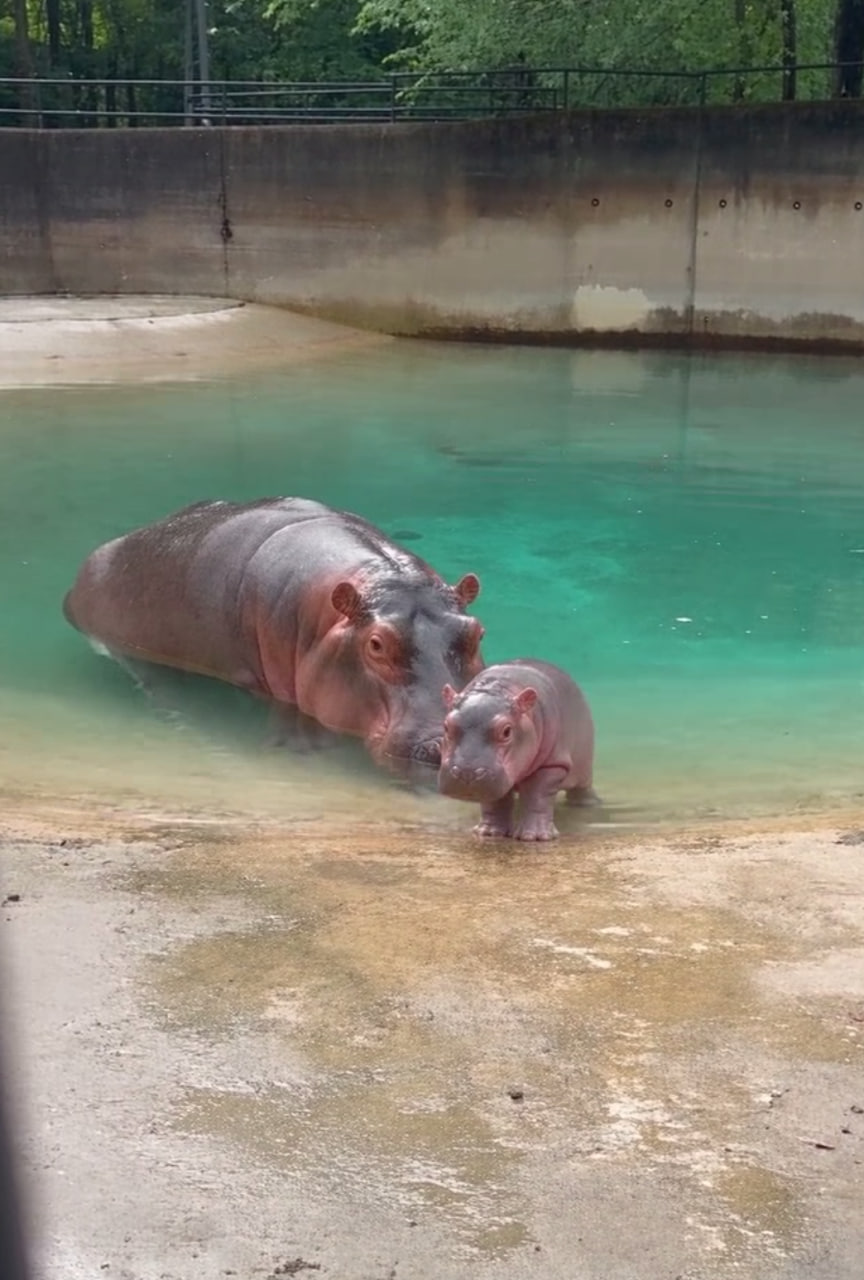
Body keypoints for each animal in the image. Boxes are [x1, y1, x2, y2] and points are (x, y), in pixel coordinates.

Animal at [438, 659, 596, 841]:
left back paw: (587, 804)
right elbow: (494, 801)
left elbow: (538, 796)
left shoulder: (552, 764)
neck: (498, 687)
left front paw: (534, 837)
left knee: (582, 788)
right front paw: (489, 832)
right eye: (446, 726)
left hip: (584, 767)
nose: (466, 773)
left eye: (506, 731)